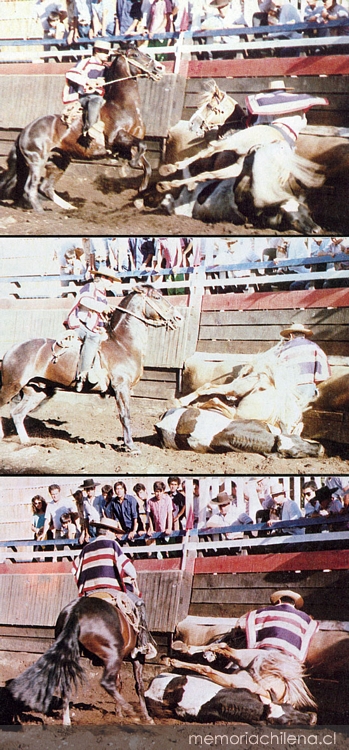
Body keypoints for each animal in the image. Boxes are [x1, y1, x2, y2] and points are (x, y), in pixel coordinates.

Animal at [0, 45, 164, 212]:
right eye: (135, 55)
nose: (159, 68)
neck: (122, 107)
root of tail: (24, 131)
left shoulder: (130, 144)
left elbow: (147, 162)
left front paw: (141, 188)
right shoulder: (116, 138)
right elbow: (142, 146)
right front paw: (132, 165)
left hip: (59, 161)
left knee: (45, 187)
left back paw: (69, 207)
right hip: (36, 161)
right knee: (30, 187)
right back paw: (40, 210)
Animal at [0, 286, 181, 452]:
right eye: (157, 297)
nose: (178, 317)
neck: (122, 344)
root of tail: (12, 349)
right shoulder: (121, 388)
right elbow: (125, 415)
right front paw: (131, 446)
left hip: (37, 391)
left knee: (17, 414)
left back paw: (26, 441)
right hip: (11, 386)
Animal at [6, 596, 152, 724]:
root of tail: (77, 610)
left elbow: (121, 683)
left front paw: (119, 713)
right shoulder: (137, 658)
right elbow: (139, 686)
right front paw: (146, 717)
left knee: (66, 684)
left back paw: (66, 720)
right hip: (113, 655)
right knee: (107, 683)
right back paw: (132, 712)